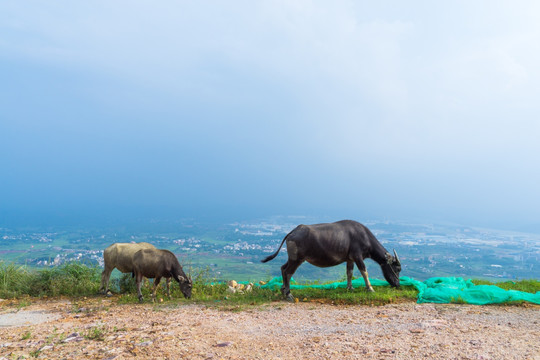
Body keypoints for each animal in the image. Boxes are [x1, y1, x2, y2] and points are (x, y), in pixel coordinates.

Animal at [262, 219, 400, 300]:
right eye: (397, 268)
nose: (397, 285)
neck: (364, 236)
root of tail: (293, 231)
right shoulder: (358, 257)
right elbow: (364, 271)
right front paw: (370, 288)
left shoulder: (350, 259)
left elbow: (349, 272)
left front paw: (350, 288)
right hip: (297, 259)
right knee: (288, 272)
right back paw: (288, 293)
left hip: (293, 258)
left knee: (283, 268)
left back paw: (283, 289)